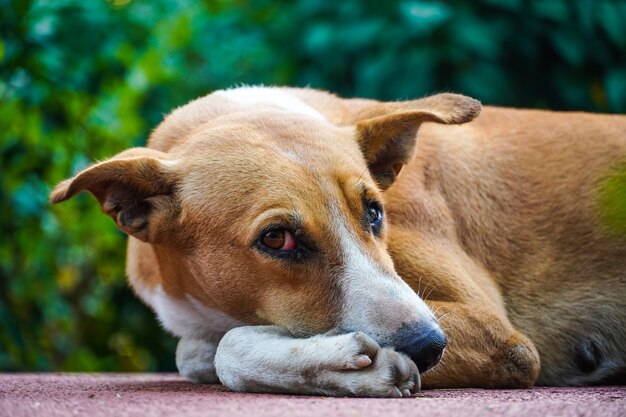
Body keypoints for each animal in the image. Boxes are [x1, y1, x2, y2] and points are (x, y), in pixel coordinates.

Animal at [51, 86, 620, 394]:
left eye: (374, 211)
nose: (430, 347)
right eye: (277, 239)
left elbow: (227, 347)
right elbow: (198, 352)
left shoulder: (499, 335)